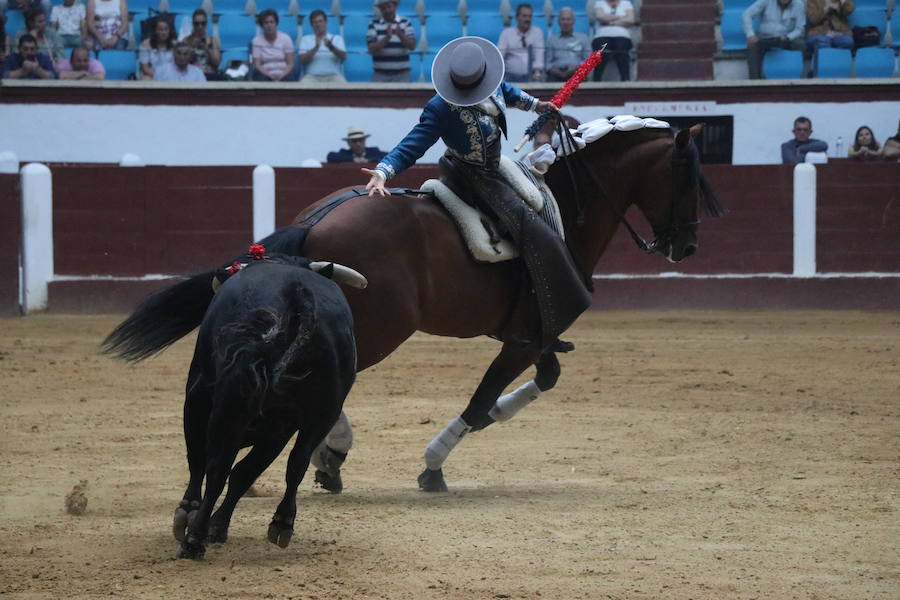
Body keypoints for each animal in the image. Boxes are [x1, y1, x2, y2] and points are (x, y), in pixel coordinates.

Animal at [105, 123, 724, 492]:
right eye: (688, 176)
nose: (689, 246)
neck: (561, 208)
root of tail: (314, 223)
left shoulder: (532, 335)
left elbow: (538, 383)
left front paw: (488, 421)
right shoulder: (527, 337)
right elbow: (481, 401)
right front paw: (433, 465)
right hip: (381, 327)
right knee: (329, 375)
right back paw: (332, 453)